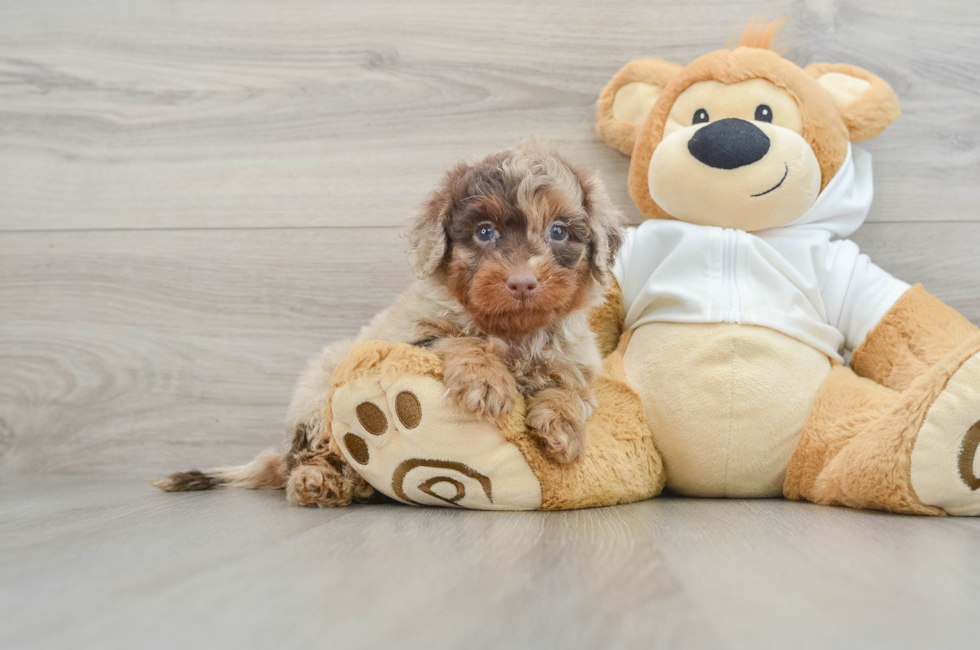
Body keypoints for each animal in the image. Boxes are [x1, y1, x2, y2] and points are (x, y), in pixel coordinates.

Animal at [153, 140, 628, 506]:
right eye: (485, 232)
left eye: (559, 231)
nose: (523, 281)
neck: (514, 333)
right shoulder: (412, 336)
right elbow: (459, 340)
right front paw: (486, 381)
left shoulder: (575, 364)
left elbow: (570, 391)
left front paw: (563, 430)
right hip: (318, 399)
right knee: (310, 456)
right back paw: (319, 482)